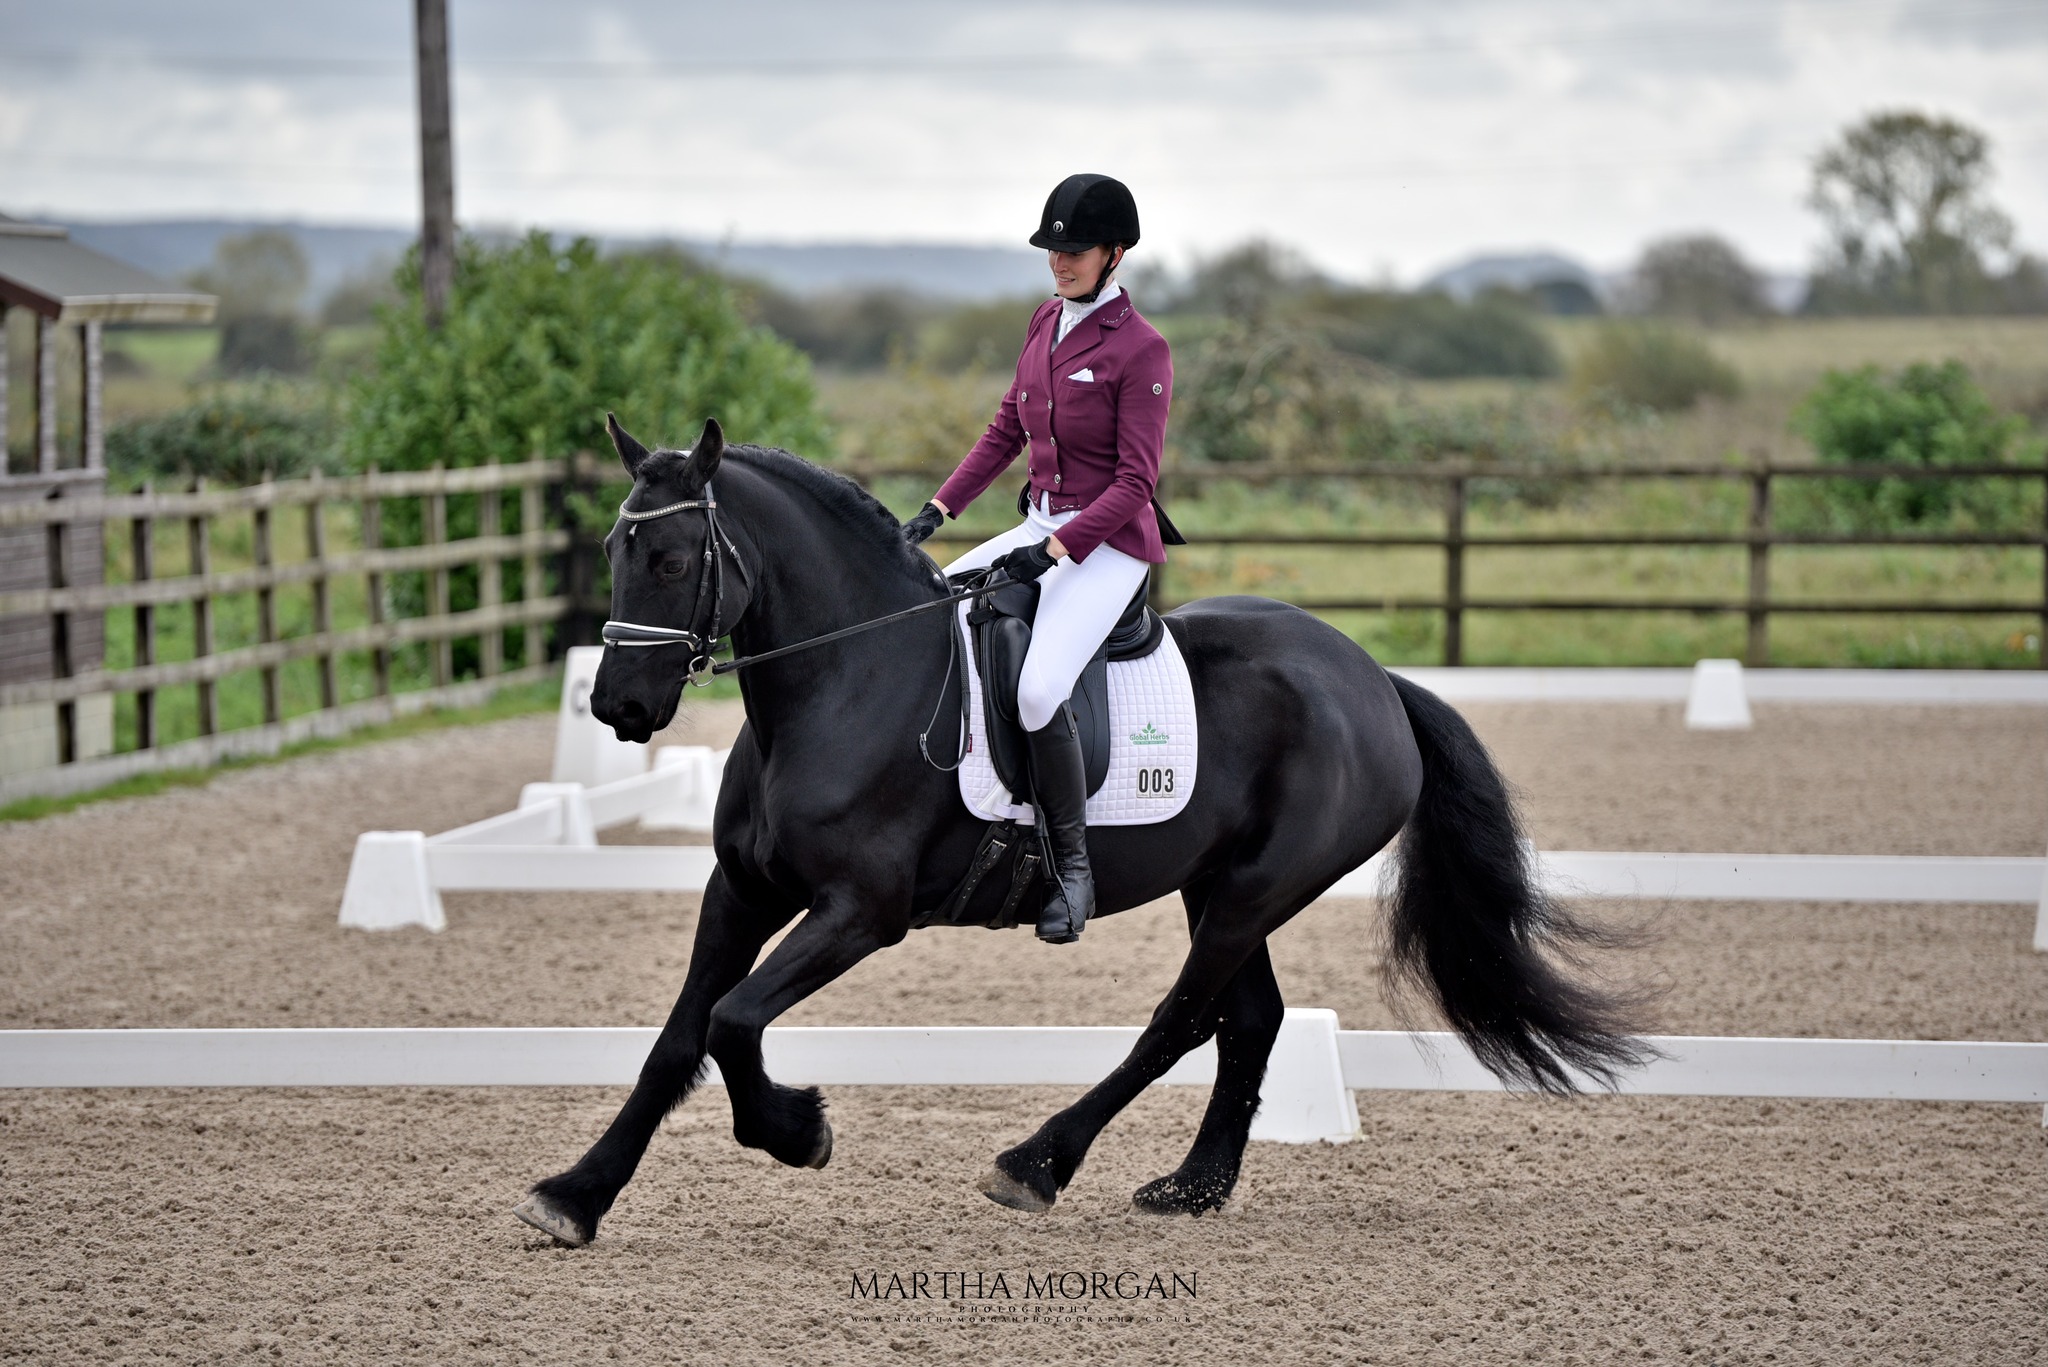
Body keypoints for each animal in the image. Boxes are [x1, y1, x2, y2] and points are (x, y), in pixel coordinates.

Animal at [516, 422, 1646, 1246]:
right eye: (616, 551)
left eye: (672, 558)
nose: (618, 704)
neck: (843, 681)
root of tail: (1373, 680)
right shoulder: (741, 890)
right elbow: (679, 1039)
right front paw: (574, 1195)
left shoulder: (861, 912)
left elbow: (734, 1020)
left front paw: (799, 1131)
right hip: (1219, 884)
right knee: (1251, 1019)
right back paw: (1191, 1187)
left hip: (1256, 889)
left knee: (1179, 1022)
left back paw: (1035, 1163)